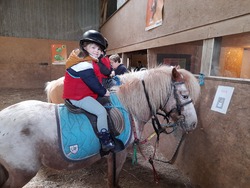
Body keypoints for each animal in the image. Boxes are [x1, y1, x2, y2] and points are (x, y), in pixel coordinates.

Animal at [0, 65, 199, 187]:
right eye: (184, 95)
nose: (193, 123)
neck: (127, 106)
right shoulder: (118, 154)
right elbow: (113, 181)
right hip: (21, 172)